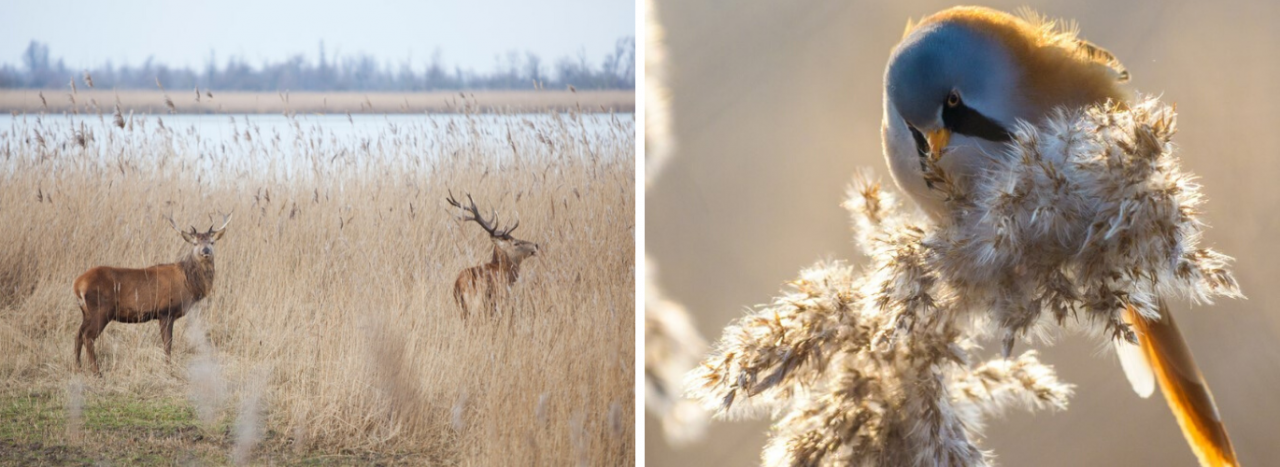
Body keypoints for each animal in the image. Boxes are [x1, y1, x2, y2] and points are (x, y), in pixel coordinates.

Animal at [73, 212, 232, 373]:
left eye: (212, 242)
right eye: (195, 243)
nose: (206, 251)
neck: (188, 283)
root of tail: (78, 284)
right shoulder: (165, 311)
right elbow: (168, 344)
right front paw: (168, 368)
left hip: (87, 312)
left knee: (78, 334)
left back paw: (78, 367)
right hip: (101, 309)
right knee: (88, 336)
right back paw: (97, 372)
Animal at [448, 190, 537, 322]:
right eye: (516, 243)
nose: (536, 245)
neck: (505, 271)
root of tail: (459, 285)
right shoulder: (501, 297)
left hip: (461, 308)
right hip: (477, 304)